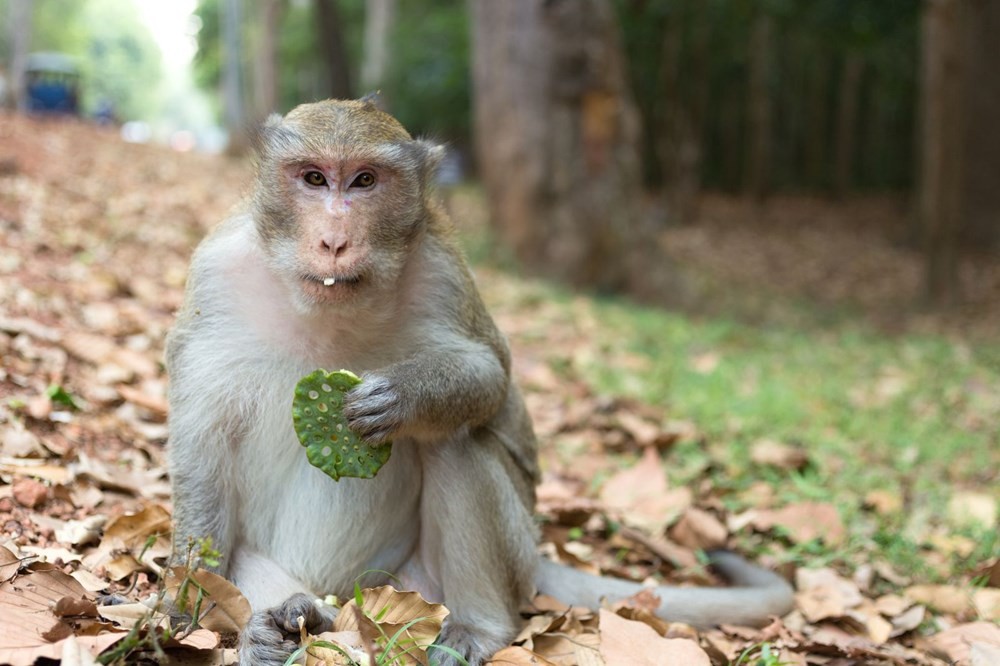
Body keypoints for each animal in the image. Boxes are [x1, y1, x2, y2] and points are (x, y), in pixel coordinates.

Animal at [164, 98, 788, 664]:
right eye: (313, 178)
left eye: (365, 180)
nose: (335, 241)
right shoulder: (216, 275)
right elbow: (201, 453)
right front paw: (186, 614)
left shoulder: (442, 271)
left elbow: (491, 376)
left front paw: (404, 397)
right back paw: (287, 619)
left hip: (432, 577)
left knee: (457, 443)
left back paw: (479, 628)